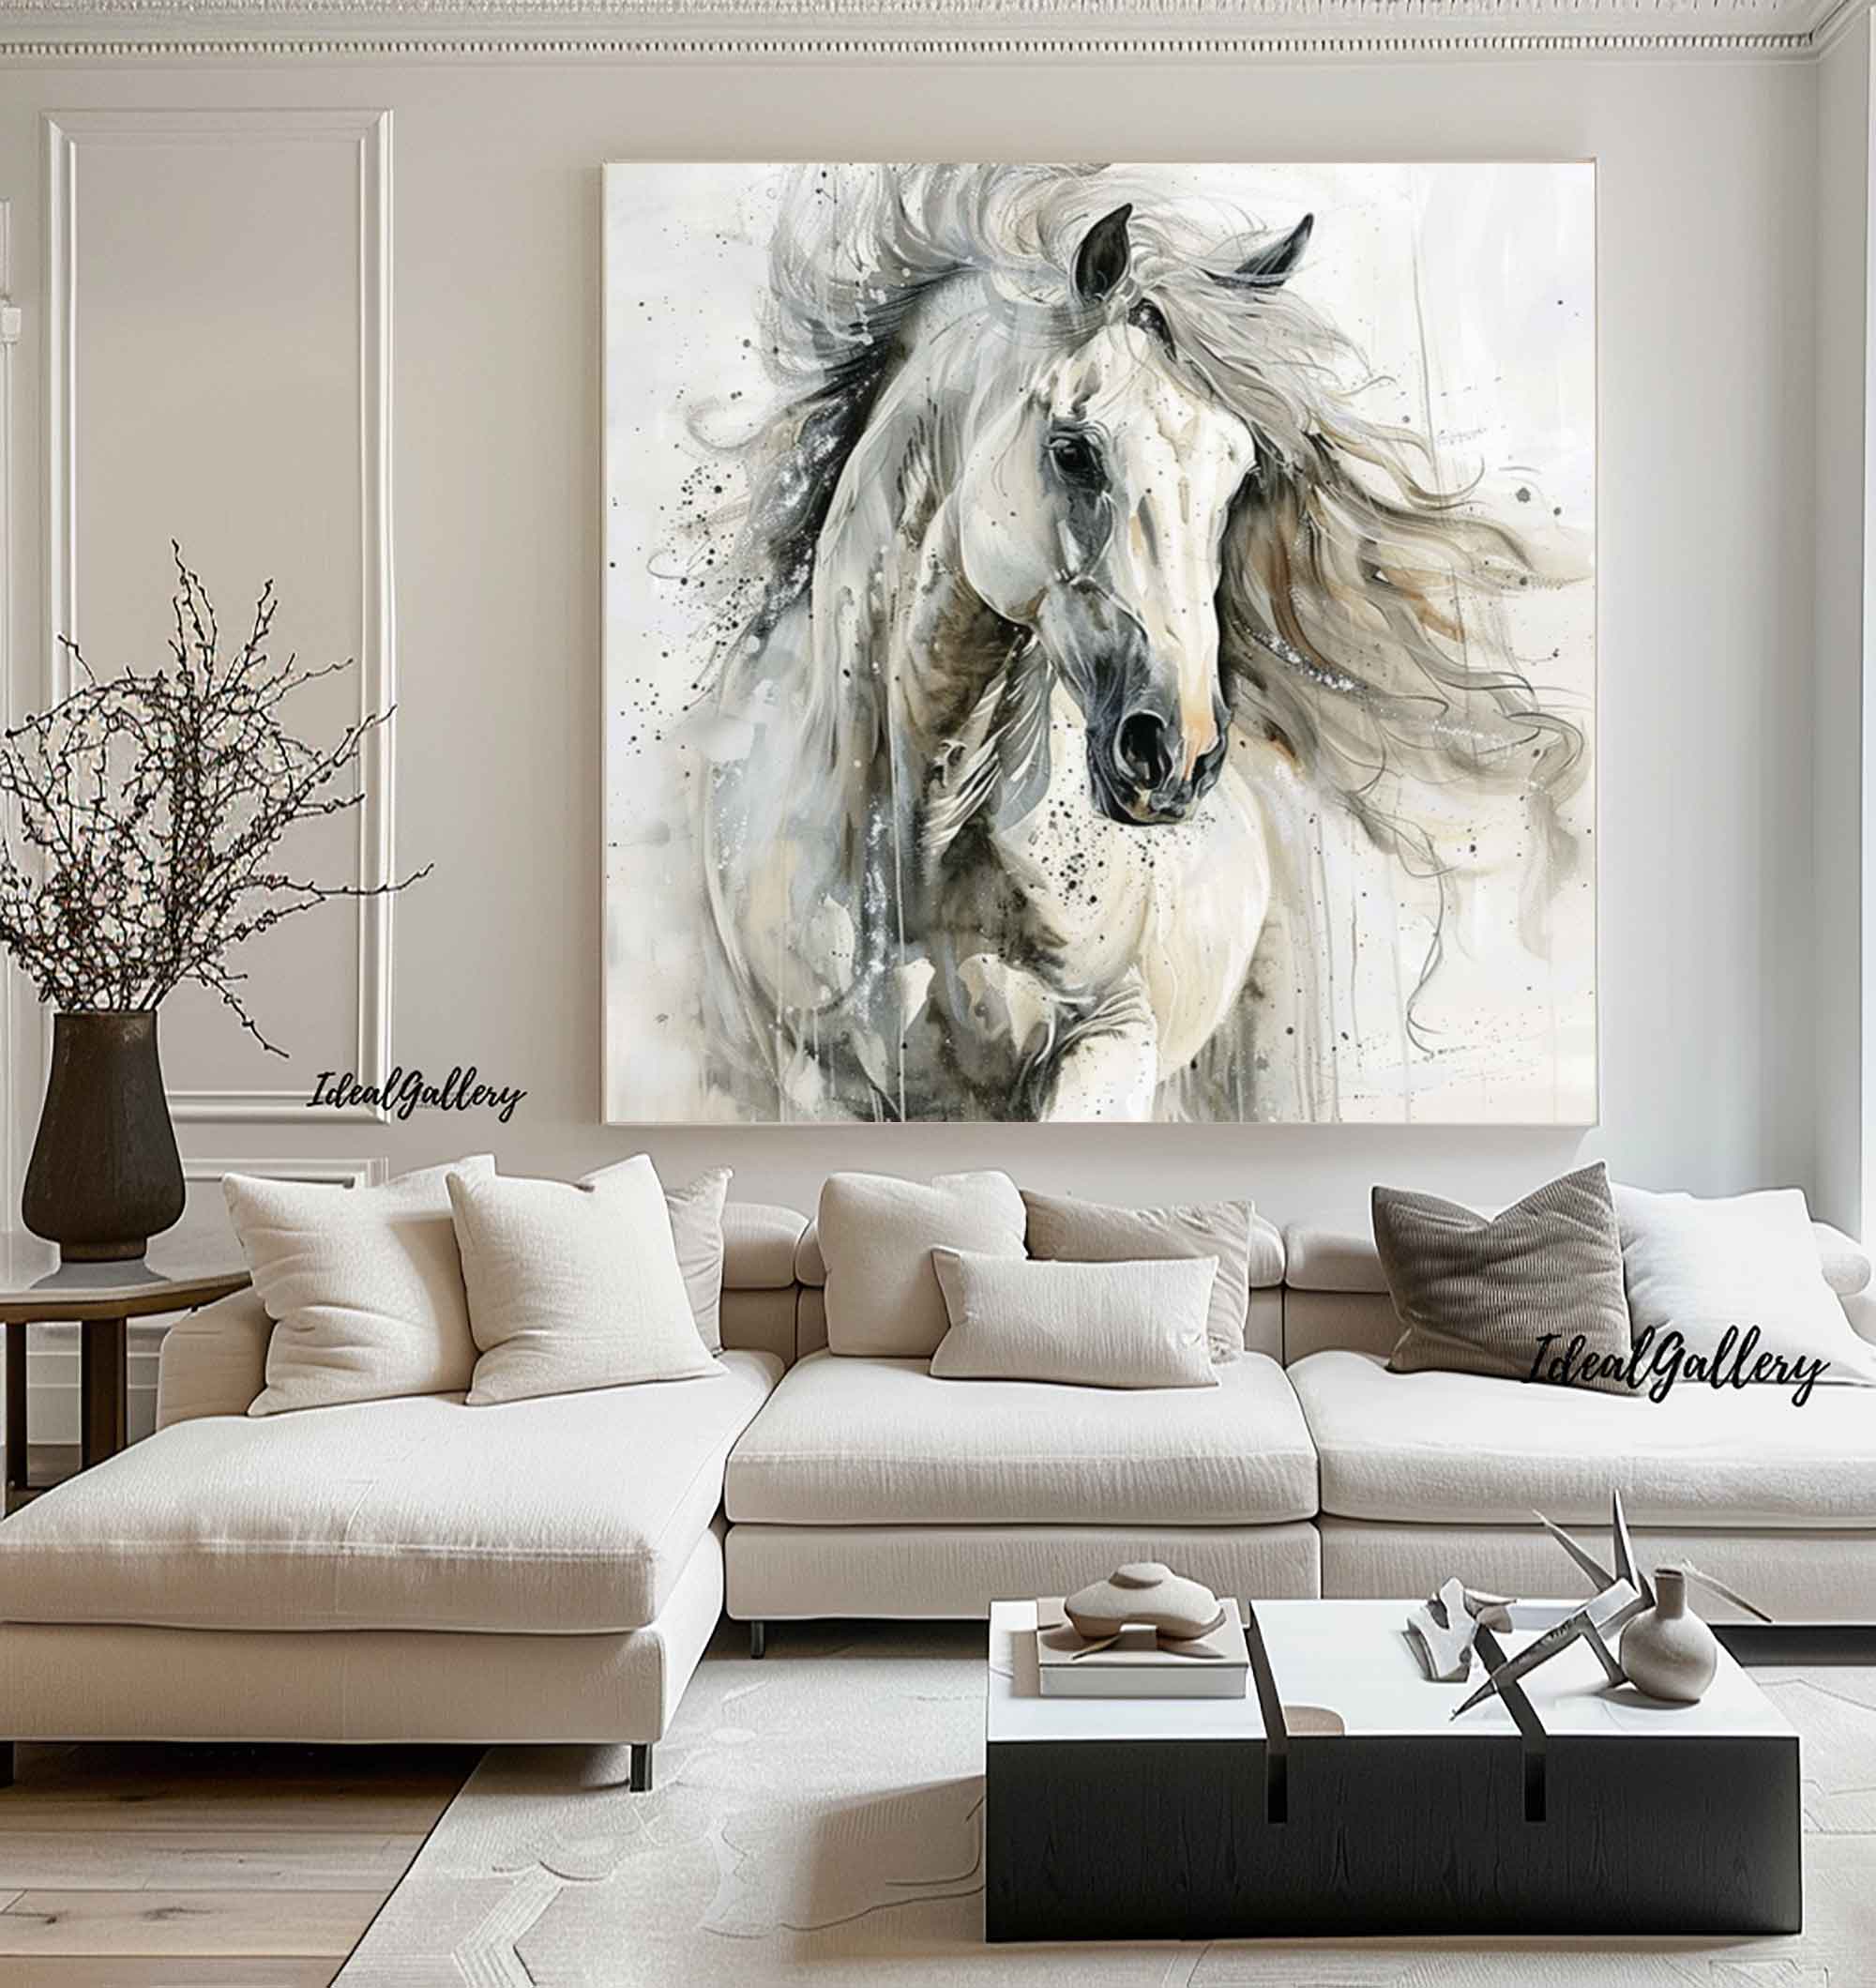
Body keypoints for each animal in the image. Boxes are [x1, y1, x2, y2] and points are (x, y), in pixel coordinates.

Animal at [692, 165, 1585, 1122]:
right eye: (1074, 450)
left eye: (1240, 470)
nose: (1177, 752)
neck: (914, 841)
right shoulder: (817, 1080)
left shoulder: (1108, 1044)